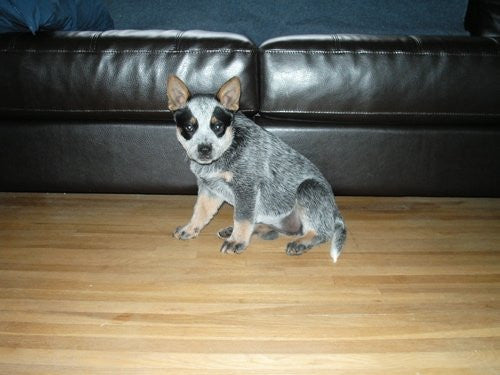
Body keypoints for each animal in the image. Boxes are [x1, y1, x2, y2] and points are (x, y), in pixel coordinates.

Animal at [168, 75, 348, 262]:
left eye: (217, 127)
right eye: (189, 127)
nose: (204, 149)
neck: (229, 148)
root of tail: (334, 211)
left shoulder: (246, 188)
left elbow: (242, 218)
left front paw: (237, 241)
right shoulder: (209, 189)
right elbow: (200, 212)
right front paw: (190, 229)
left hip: (309, 187)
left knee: (322, 232)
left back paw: (301, 243)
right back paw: (233, 230)